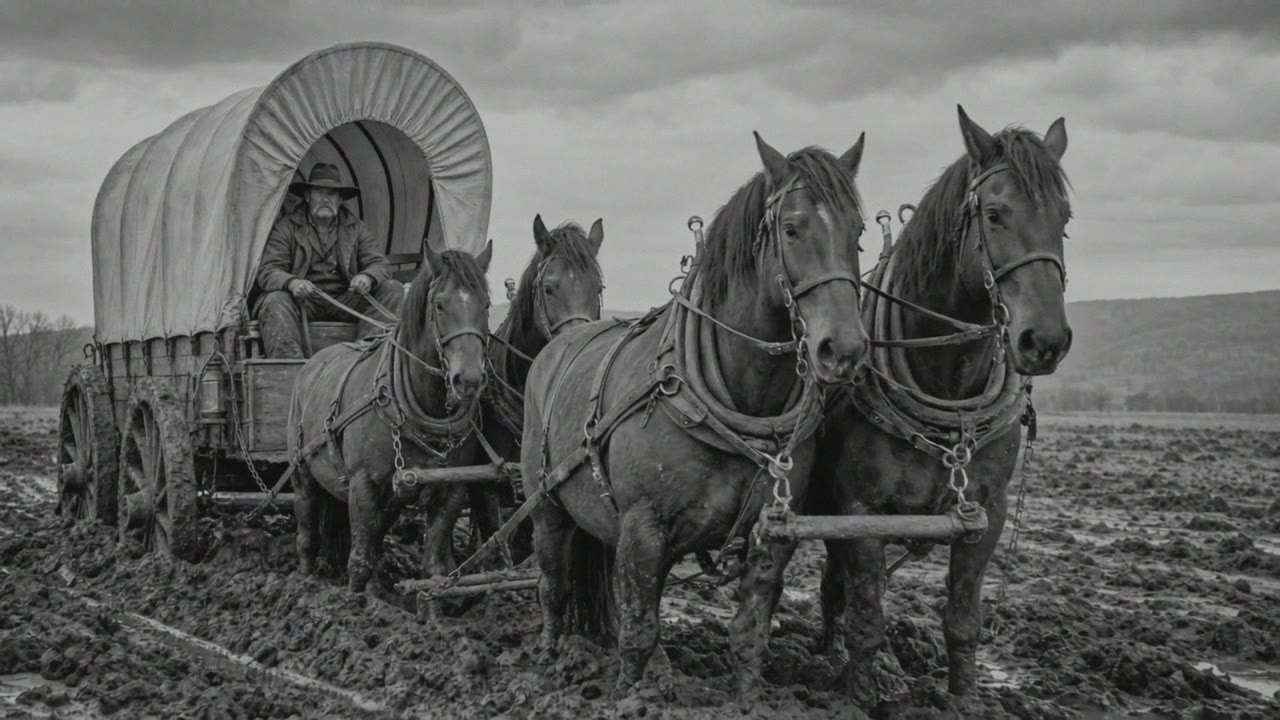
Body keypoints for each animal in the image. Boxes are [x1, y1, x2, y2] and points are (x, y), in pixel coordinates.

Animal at [288, 241, 493, 593]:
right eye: (439, 305)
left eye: (487, 305)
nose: (467, 380)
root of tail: (312, 361)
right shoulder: (362, 484)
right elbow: (359, 563)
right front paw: (357, 599)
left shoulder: (452, 489)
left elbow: (432, 567)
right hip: (303, 472)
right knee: (307, 527)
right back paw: (305, 579)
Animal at [521, 132, 871, 701]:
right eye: (792, 228)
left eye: (858, 233)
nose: (843, 349)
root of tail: (559, 342)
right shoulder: (643, 529)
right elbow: (639, 631)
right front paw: (630, 698)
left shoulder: (772, 536)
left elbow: (749, 632)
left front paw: (748, 701)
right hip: (547, 503)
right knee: (552, 580)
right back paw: (551, 656)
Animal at [809, 106, 1072, 707]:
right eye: (995, 214)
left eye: (1065, 218)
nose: (1045, 341)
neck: (947, 386)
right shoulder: (860, 512)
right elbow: (868, 618)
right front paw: (859, 696)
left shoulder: (986, 514)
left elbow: (962, 620)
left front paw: (964, 699)